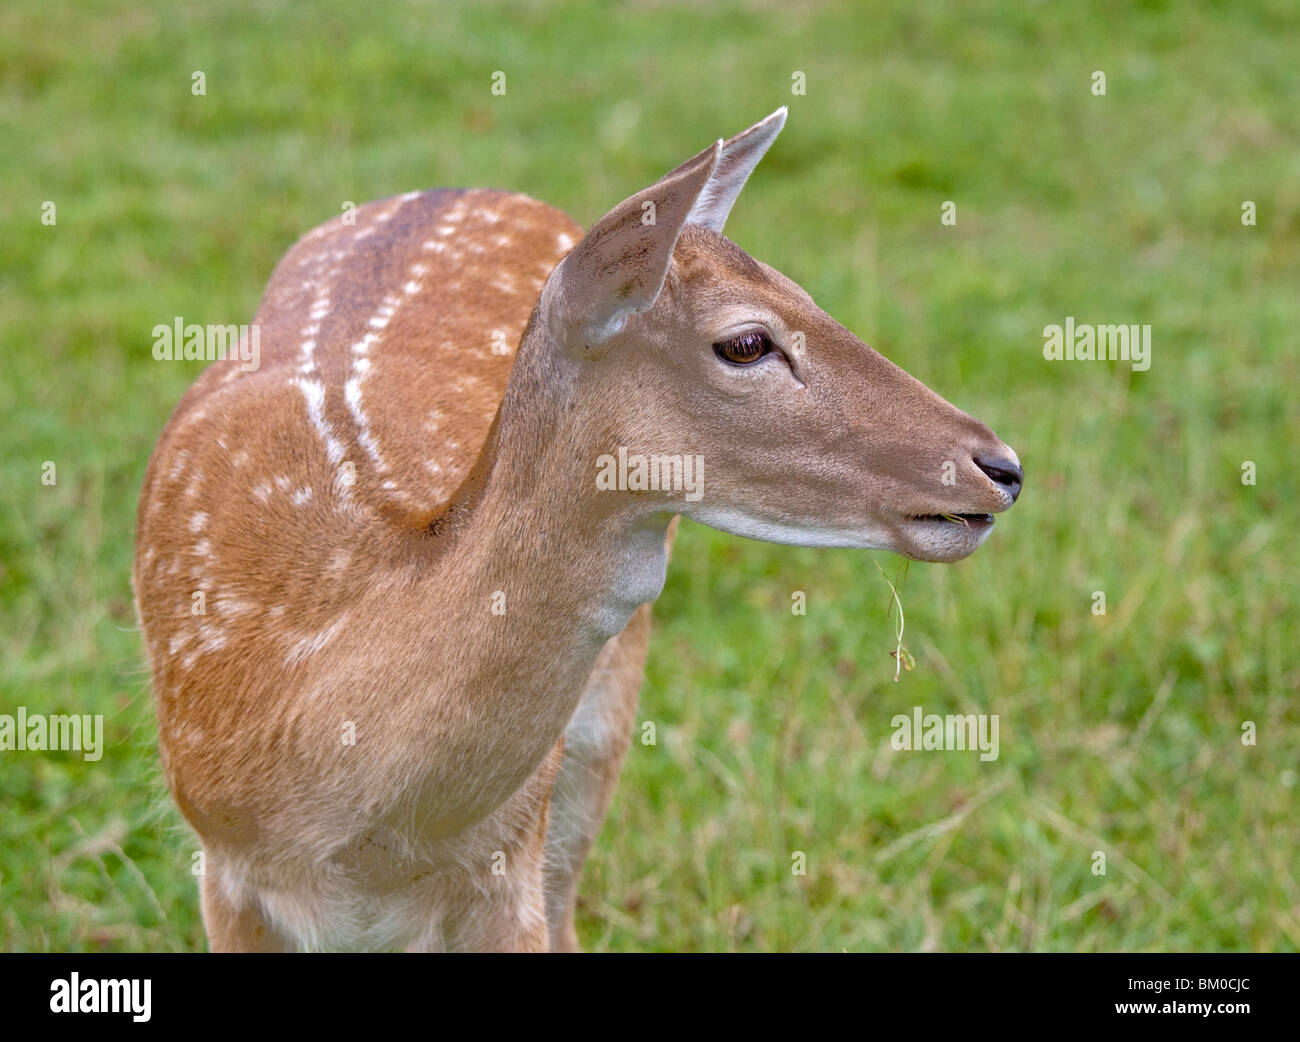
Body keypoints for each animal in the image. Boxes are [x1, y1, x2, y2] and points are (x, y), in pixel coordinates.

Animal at [134, 107, 1024, 951]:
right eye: (746, 342)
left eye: (807, 294)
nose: (1001, 466)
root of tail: (463, 187)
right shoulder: (222, 867)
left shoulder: (510, 864)